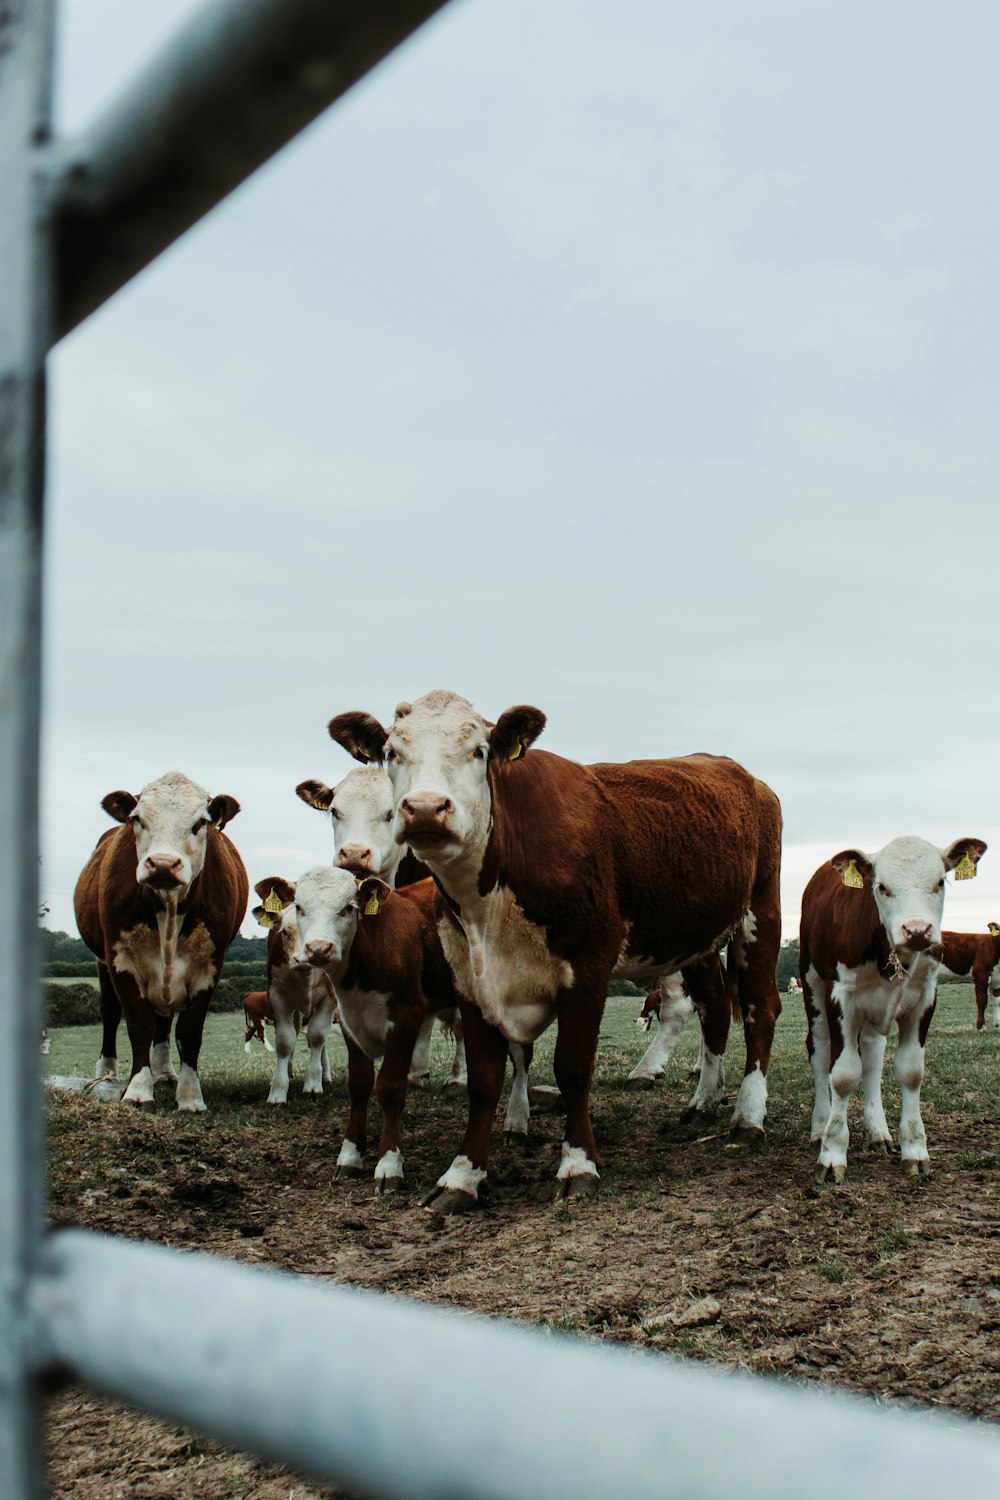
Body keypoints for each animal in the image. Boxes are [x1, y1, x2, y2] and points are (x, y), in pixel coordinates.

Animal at [72, 774, 248, 1116]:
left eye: (201, 822)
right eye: (137, 818)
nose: (164, 864)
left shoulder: (209, 965)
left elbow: (188, 1032)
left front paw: (190, 1097)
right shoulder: (121, 960)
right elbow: (139, 1023)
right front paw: (138, 1090)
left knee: (164, 1021)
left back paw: (164, 1072)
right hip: (101, 961)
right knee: (110, 1011)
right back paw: (107, 1074)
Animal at [257, 864, 461, 1188]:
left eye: (348, 908)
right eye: (299, 907)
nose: (319, 949)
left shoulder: (406, 1018)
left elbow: (390, 1088)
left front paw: (389, 1163)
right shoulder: (349, 1021)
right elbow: (360, 1085)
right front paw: (350, 1155)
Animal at [328, 687, 779, 1206]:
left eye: (479, 751)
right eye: (391, 752)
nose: (424, 808)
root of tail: (746, 777)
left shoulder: (587, 968)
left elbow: (573, 1067)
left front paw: (578, 1164)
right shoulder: (470, 977)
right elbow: (485, 1079)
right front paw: (463, 1176)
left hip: (760, 914)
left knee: (758, 1010)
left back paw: (746, 1117)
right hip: (697, 938)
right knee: (715, 1009)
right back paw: (704, 1099)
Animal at [803, 834, 989, 1182]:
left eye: (940, 881)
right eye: (881, 887)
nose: (917, 930)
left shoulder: (924, 999)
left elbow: (910, 1072)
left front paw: (915, 1150)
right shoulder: (841, 999)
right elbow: (843, 1075)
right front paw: (832, 1154)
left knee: (873, 1056)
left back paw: (878, 1132)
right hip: (813, 985)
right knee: (820, 1054)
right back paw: (820, 1128)